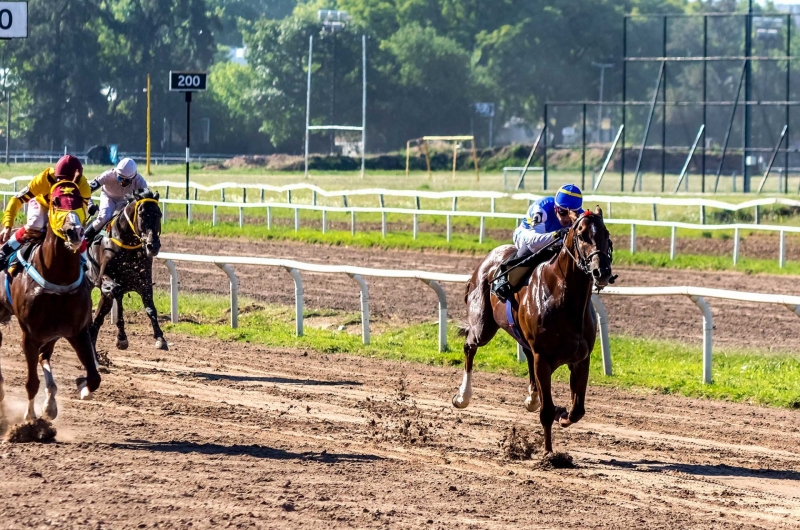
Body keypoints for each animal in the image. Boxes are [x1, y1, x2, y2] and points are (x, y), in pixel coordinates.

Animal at [0, 182, 101, 420]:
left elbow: (94, 377)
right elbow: (31, 382)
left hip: (51, 333)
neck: (58, 278)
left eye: (81, 201)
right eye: (55, 201)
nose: (74, 231)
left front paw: (82, 389)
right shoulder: (29, 335)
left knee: (44, 357)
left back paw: (51, 403)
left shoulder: (77, 331)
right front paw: (30, 417)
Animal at [86, 188, 166, 348]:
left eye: (159, 214)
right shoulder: (106, 279)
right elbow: (118, 298)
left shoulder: (144, 281)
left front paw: (160, 337)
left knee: (97, 320)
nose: (153, 246)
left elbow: (150, 308)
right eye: (141, 214)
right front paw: (122, 337)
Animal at [454, 205, 616, 450]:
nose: (602, 271)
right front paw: (548, 452)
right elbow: (546, 411)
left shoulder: (581, 359)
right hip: (483, 326)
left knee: (526, 355)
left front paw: (562, 414)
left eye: (606, 234)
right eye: (582, 235)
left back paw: (532, 398)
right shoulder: (544, 358)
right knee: (470, 346)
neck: (564, 299)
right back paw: (463, 397)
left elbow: (577, 410)